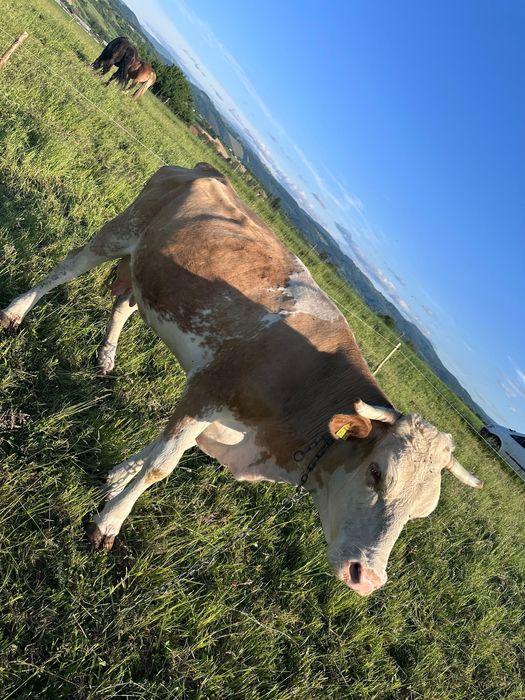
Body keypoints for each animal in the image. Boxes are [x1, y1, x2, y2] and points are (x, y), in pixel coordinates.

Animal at [0, 163, 482, 596]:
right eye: (377, 473)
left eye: (422, 512)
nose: (367, 578)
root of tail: (207, 170)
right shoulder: (208, 392)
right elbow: (161, 466)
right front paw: (109, 522)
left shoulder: (211, 408)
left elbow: (157, 450)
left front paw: (118, 478)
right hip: (121, 230)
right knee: (66, 267)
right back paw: (15, 312)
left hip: (146, 269)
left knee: (123, 304)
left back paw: (106, 357)